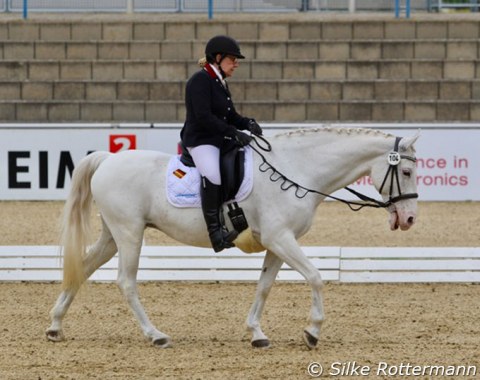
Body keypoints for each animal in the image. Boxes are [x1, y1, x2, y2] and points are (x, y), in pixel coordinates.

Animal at [46, 126, 420, 348]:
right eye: (406, 170)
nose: (409, 219)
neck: (298, 169)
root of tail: (108, 159)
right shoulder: (281, 237)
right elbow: (315, 276)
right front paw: (312, 332)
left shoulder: (276, 242)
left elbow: (264, 286)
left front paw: (256, 333)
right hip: (129, 233)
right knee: (125, 281)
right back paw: (156, 335)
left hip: (113, 235)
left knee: (82, 268)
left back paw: (55, 326)